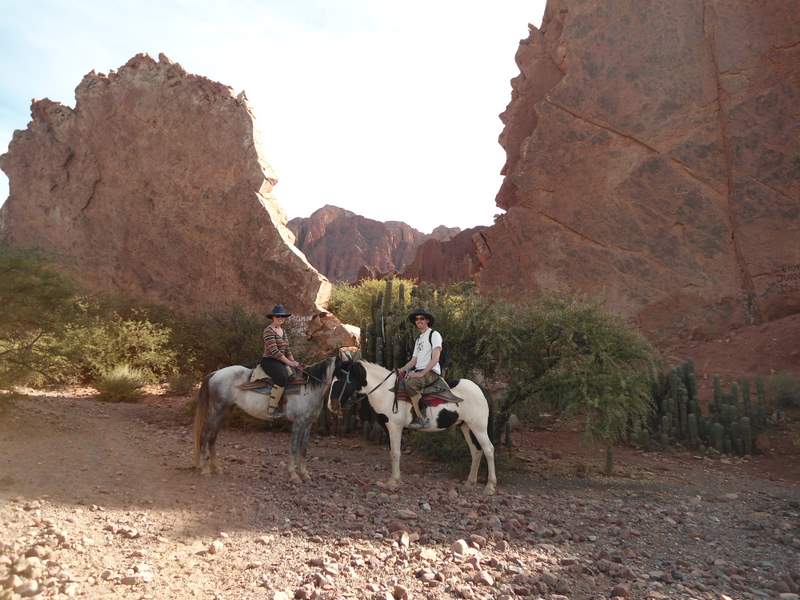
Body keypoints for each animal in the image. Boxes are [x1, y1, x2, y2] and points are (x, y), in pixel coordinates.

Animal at [193, 355, 337, 483]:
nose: (334, 405)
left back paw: (216, 468)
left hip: (224, 412)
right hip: (216, 411)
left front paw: (305, 475)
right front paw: (294, 476)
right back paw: (205, 470)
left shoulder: (308, 424)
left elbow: (304, 449)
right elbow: (294, 447)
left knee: (212, 437)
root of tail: (215, 373)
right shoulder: (298, 422)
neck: (307, 387)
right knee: (204, 435)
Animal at [330, 360, 497, 495]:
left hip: (479, 427)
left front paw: (393, 482)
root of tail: (481, 389)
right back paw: (470, 483)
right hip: (466, 426)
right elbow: (391, 453)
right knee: (476, 451)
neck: (386, 392)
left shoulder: (395, 427)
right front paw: (394, 479)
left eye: (340, 381)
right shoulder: (387, 428)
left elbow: (396, 453)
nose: (331, 406)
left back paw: (490, 487)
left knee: (488, 449)